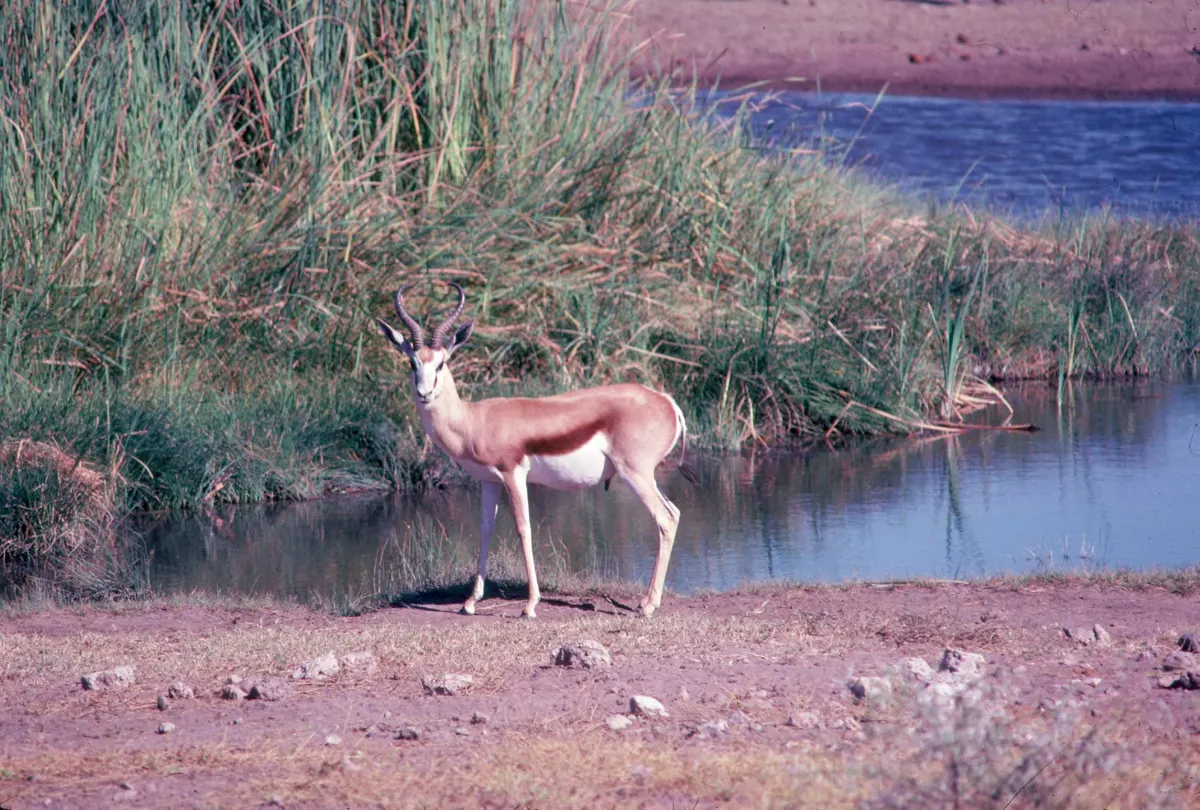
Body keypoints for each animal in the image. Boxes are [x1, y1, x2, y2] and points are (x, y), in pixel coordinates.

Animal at [376, 280, 690, 618]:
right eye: (412, 363)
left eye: (441, 363)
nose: (424, 393)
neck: (473, 420)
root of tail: (667, 403)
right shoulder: (488, 481)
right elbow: (485, 529)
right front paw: (471, 602)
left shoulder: (514, 474)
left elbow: (523, 528)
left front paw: (529, 605)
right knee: (673, 514)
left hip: (635, 473)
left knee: (665, 519)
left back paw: (648, 605)